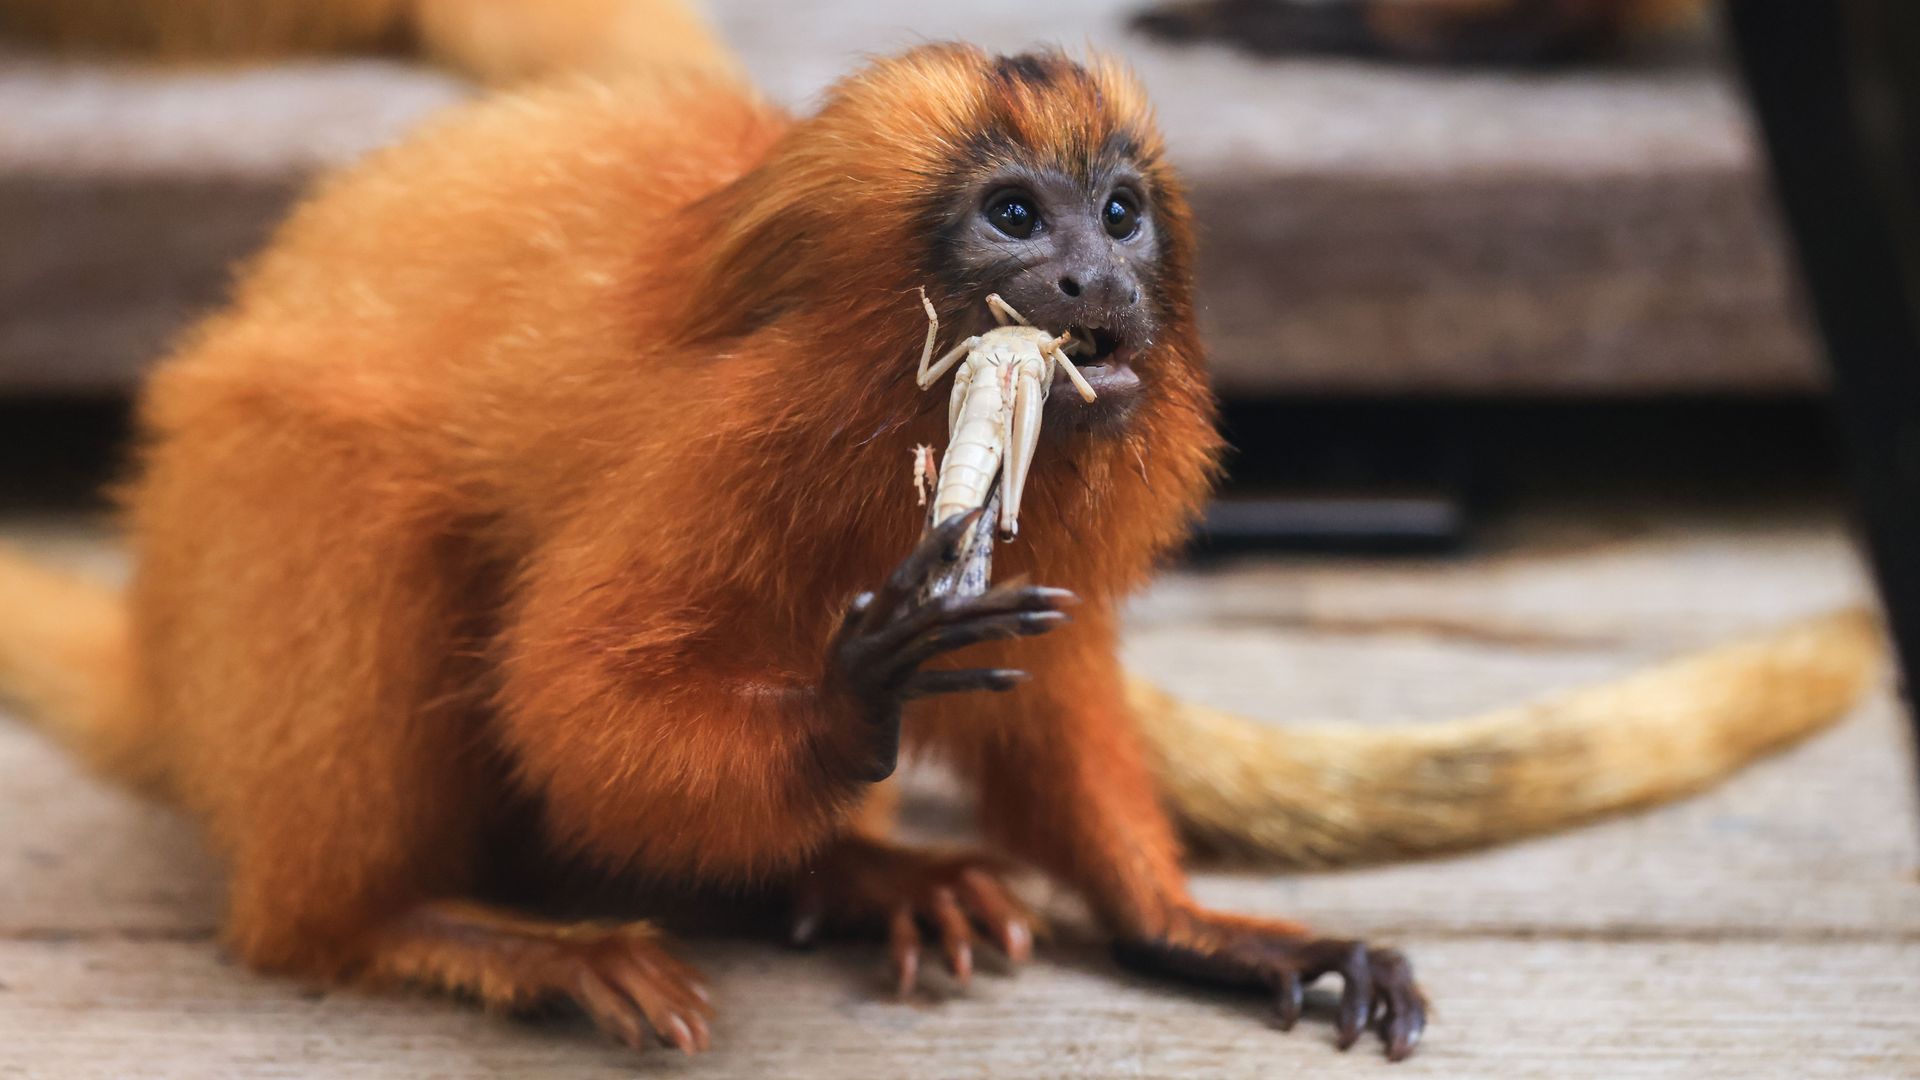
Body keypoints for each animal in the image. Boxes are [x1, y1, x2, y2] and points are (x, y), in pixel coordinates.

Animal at [0, 21, 1887, 1068]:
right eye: (1013, 216)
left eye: (1118, 210)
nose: (1093, 279)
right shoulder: (735, 438)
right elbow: (574, 690)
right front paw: (851, 716)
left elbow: (1043, 670)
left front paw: (1177, 926)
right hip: (243, 531)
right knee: (353, 502)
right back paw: (425, 924)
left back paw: (844, 875)